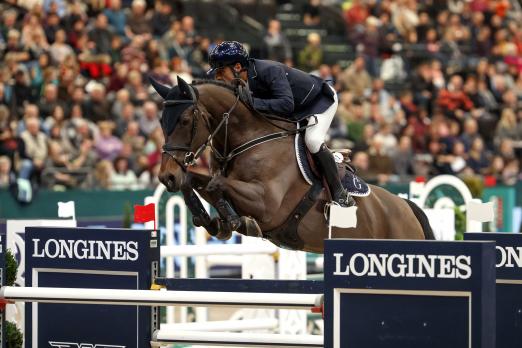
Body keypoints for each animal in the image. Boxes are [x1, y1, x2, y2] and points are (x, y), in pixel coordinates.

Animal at [149, 77, 430, 253]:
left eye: (185, 120)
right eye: (161, 121)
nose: (166, 177)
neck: (248, 137)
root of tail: (406, 207)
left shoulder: (267, 203)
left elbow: (217, 185)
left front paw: (235, 222)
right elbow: (197, 182)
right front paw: (211, 220)